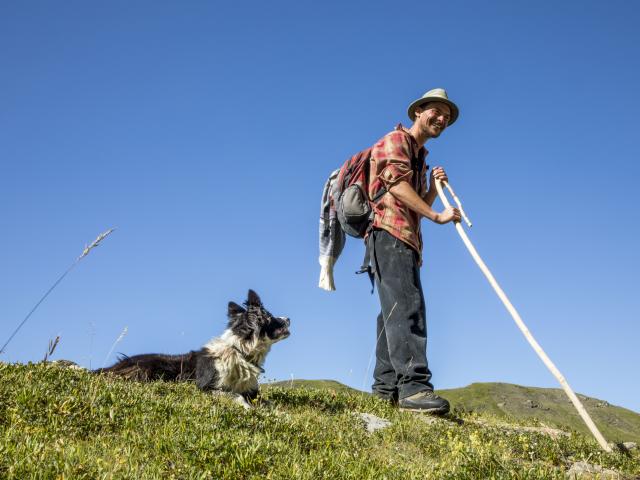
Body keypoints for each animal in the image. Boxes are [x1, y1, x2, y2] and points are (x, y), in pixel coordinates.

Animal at [95, 290, 290, 406]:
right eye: (271, 317)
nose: (289, 318)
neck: (239, 351)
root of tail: (110, 368)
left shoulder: (252, 390)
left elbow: (270, 403)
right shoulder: (206, 387)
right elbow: (236, 396)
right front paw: (247, 408)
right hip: (147, 368)